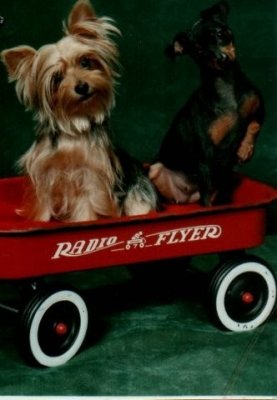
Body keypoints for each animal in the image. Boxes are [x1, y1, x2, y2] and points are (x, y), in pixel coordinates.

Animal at [2, 0, 156, 222]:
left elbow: (86, 202)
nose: (82, 87)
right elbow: (43, 203)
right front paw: (39, 222)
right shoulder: (44, 172)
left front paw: (83, 221)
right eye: (57, 78)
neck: (74, 122)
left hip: (138, 192)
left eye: (85, 62)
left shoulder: (92, 174)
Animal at [149, 0, 264, 206]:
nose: (221, 59)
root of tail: (187, 198)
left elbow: (254, 125)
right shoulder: (205, 158)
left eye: (220, 34)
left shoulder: (259, 106)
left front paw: (245, 149)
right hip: (156, 170)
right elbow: (207, 200)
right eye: (200, 51)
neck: (226, 85)